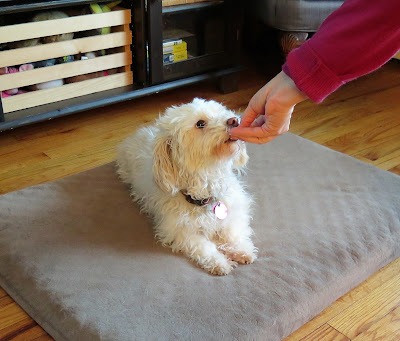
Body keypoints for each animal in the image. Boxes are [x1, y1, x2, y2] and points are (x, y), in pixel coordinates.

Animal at [117, 97, 258, 274]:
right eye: (200, 123)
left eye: (221, 111)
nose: (234, 120)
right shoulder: (180, 231)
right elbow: (203, 247)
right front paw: (219, 262)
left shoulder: (234, 210)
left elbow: (232, 232)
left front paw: (242, 250)